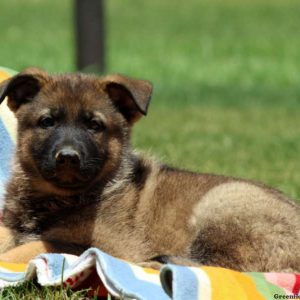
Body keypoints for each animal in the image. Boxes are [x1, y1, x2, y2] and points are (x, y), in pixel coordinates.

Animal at [0, 68, 300, 272]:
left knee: (224, 267)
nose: (68, 157)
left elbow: (31, 246)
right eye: (47, 122)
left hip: (221, 205)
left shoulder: (104, 244)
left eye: (95, 126)